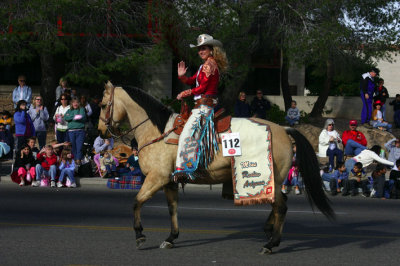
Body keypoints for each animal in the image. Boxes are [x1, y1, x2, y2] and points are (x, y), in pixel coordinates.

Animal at [97, 81, 334, 254]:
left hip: (271, 178)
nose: (100, 131)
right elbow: (172, 208)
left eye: (102, 105)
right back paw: (269, 232)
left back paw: (271, 244)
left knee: (281, 207)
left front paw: (140, 235)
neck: (158, 132)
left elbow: (136, 202)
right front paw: (171, 238)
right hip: (274, 179)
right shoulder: (169, 182)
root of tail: (285, 130)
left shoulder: (157, 178)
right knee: (278, 204)